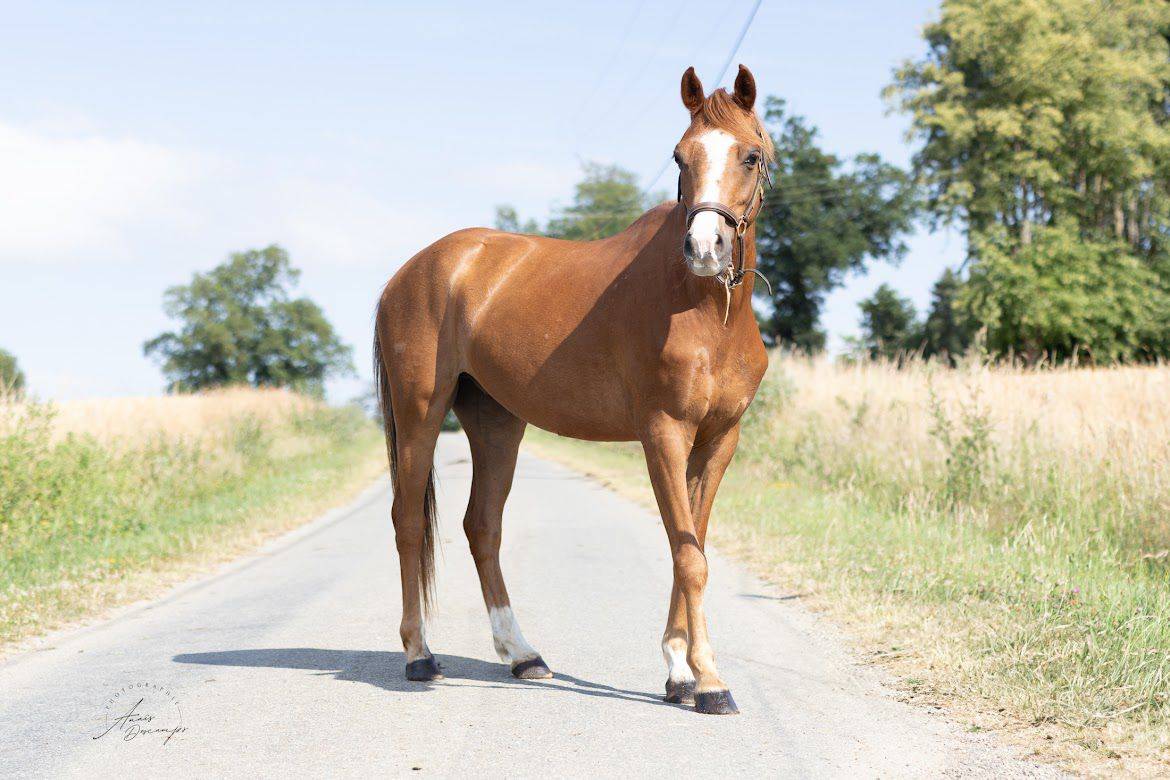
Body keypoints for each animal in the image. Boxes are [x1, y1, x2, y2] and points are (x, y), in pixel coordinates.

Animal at [373, 65, 773, 715]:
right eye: (680, 156)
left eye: (750, 155)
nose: (704, 248)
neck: (702, 309)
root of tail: (408, 273)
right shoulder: (663, 433)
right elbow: (688, 556)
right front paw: (711, 682)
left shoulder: (719, 439)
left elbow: (691, 545)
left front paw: (680, 674)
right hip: (419, 416)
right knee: (409, 521)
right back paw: (419, 656)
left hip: (496, 423)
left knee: (482, 527)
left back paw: (523, 655)